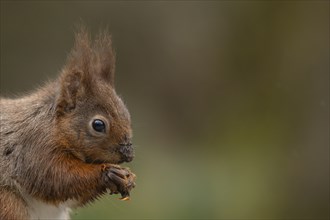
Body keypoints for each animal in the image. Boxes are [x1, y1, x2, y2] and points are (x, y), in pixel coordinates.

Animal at [0, 28, 137, 219]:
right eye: (98, 125)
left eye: (127, 112)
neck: (53, 125)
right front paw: (108, 172)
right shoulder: (34, 146)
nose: (129, 154)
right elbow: (53, 177)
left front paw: (127, 178)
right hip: (8, 203)